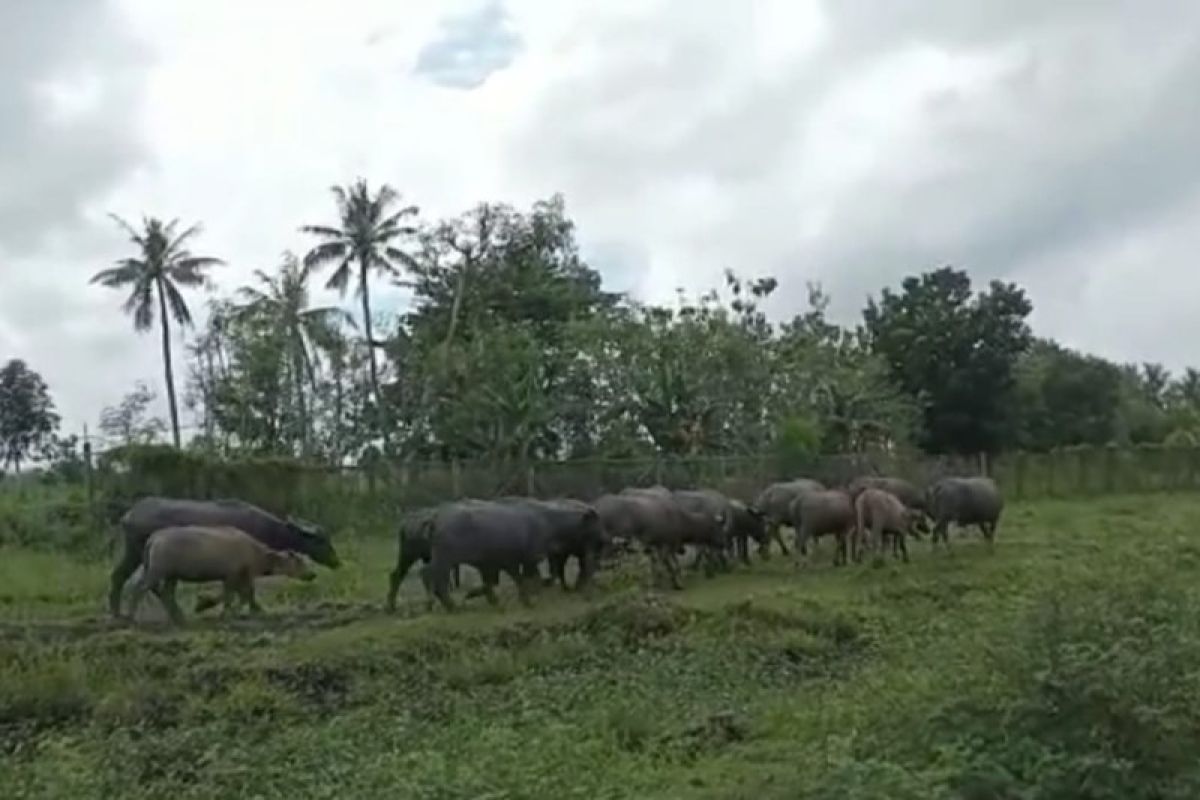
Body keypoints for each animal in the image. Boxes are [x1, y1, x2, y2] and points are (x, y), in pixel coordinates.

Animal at [128, 525, 316, 623]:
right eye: (299, 562)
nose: (312, 574)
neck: (256, 553)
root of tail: (154, 538)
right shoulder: (233, 575)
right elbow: (233, 596)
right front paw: (220, 610)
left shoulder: (240, 576)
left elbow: (246, 594)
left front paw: (255, 609)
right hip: (157, 571)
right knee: (140, 588)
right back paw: (131, 616)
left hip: (170, 575)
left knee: (167, 594)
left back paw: (179, 617)